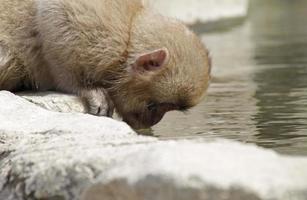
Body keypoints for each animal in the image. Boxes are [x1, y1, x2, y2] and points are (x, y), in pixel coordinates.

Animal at [0, 0, 212, 130]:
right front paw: (85, 88)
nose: (153, 121)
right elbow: (51, 14)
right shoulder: (98, 32)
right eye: (153, 106)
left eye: (167, 109)